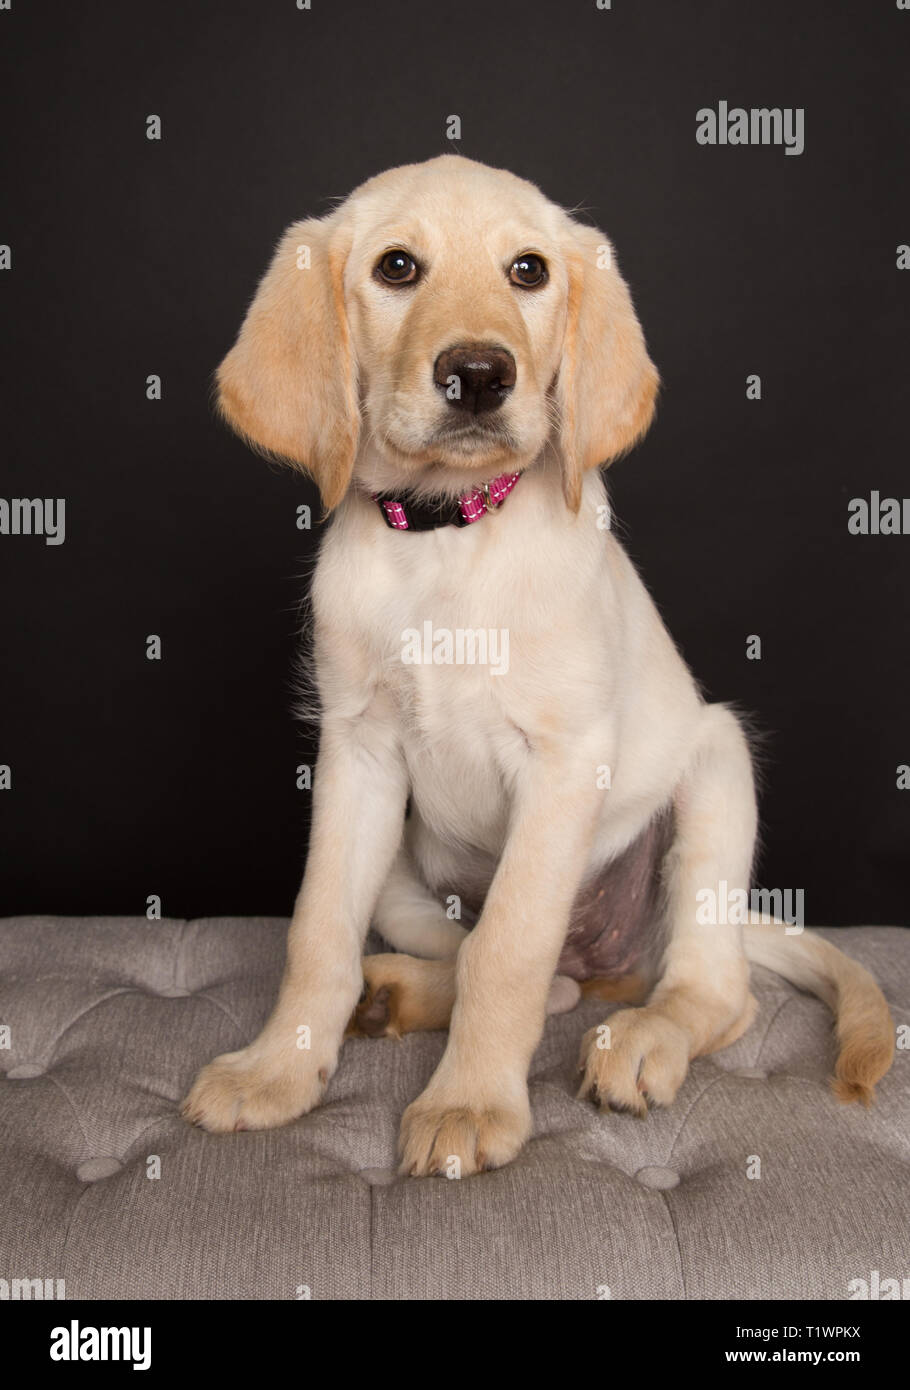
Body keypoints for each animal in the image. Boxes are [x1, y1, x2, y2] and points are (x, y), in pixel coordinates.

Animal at [182, 152, 894, 1173]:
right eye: (396, 268)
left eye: (529, 271)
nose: (480, 374)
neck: (448, 536)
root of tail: (616, 960)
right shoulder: (356, 752)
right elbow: (317, 932)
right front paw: (278, 1068)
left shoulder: (563, 763)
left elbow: (510, 947)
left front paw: (472, 1102)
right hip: (407, 870)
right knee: (528, 976)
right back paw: (390, 992)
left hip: (715, 773)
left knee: (706, 990)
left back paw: (642, 1039)